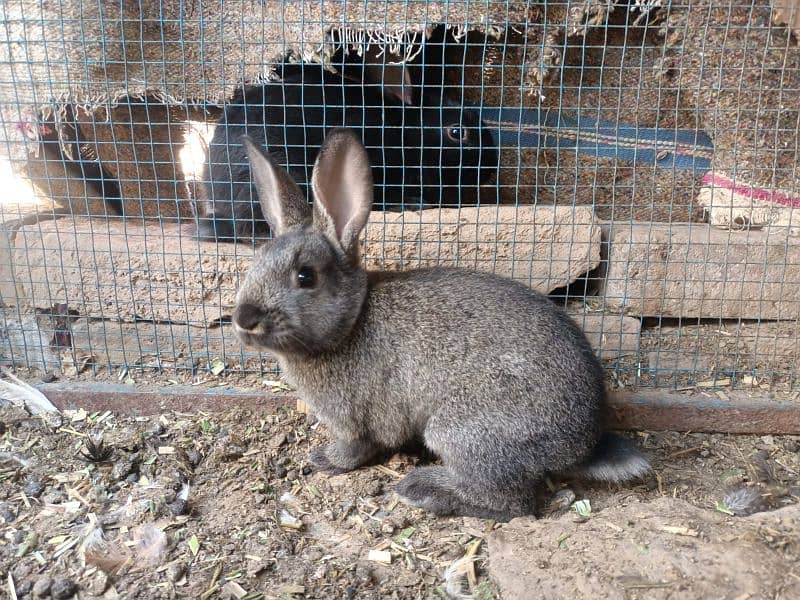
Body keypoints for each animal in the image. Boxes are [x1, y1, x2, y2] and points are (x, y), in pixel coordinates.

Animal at [231, 127, 648, 520]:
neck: (349, 325)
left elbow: (354, 449)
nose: (243, 318)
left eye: (306, 276)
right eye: (254, 264)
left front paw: (323, 460)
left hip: (462, 433)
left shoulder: (352, 419)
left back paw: (422, 489)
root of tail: (580, 445)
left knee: (514, 504)